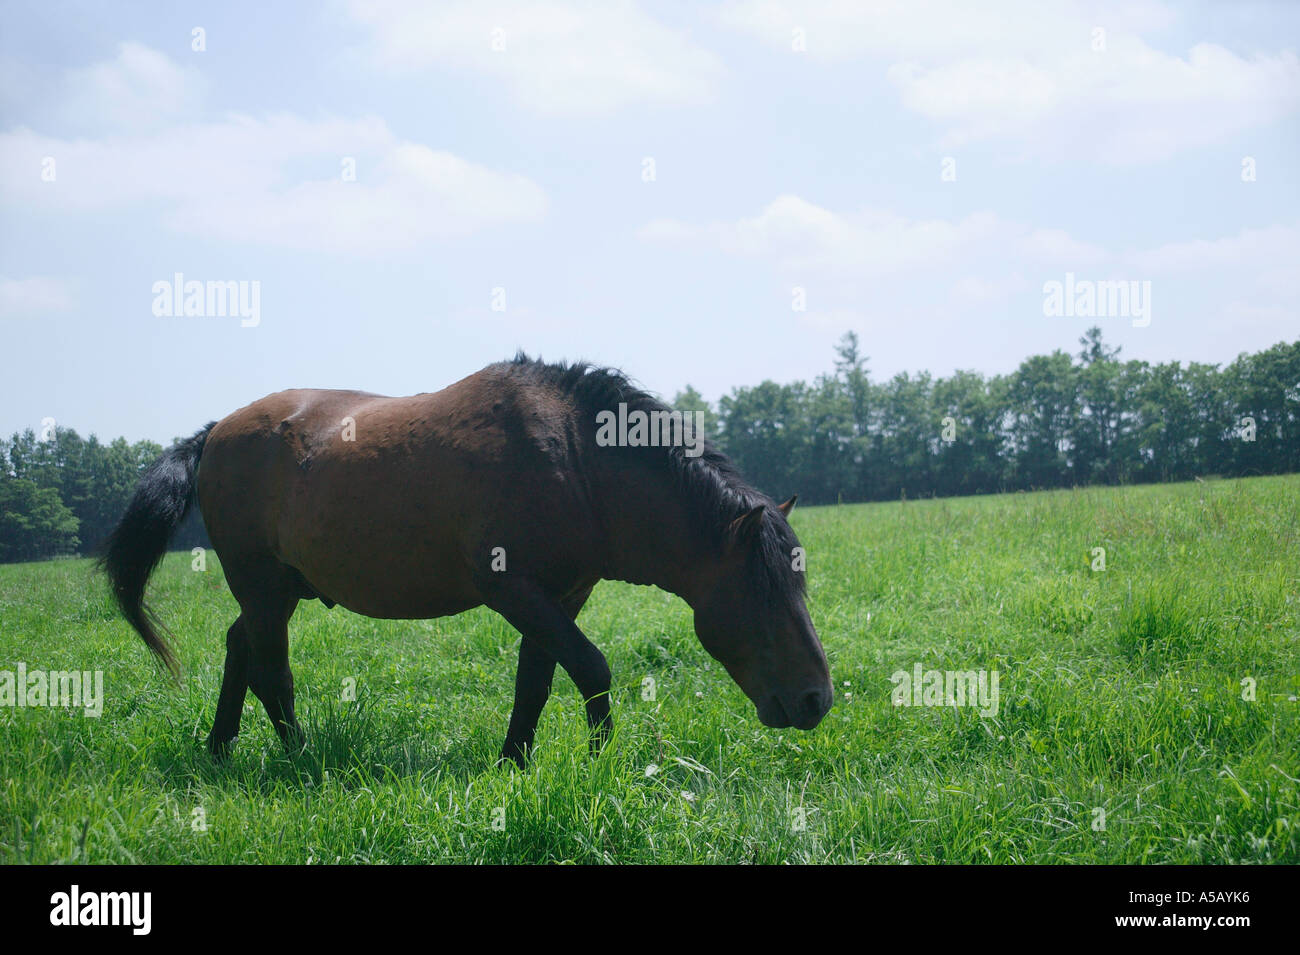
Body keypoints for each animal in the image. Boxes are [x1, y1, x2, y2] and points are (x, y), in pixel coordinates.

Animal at [101, 356, 832, 764]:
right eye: (763, 595)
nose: (816, 699)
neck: (575, 459)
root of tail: (215, 432)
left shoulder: (561, 596)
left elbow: (537, 681)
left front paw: (515, 762)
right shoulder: (511, 587)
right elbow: (591, 667)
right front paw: (603, 761)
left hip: (279, 588)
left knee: (240, 649)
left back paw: (220, 747)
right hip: (259, 583)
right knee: (272, 673)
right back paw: (299, 759)